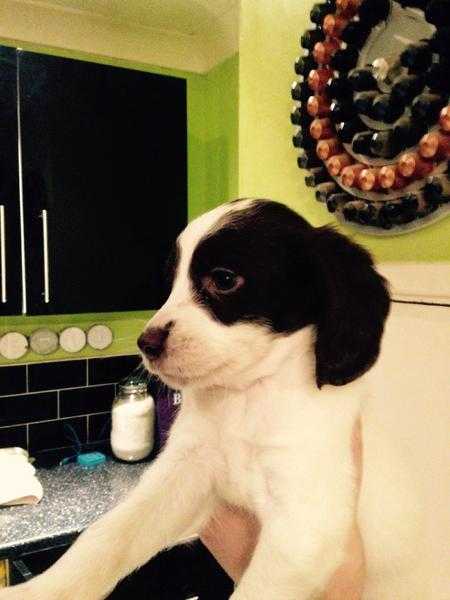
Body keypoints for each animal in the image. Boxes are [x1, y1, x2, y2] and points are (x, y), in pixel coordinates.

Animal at [2, 200, 426, 600]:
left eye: (224, 279)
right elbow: (108, 535)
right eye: (171, 281)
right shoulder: (184, 473)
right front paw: (41, 591)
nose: (146, 343)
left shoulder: (305, 525)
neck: (247, 396)